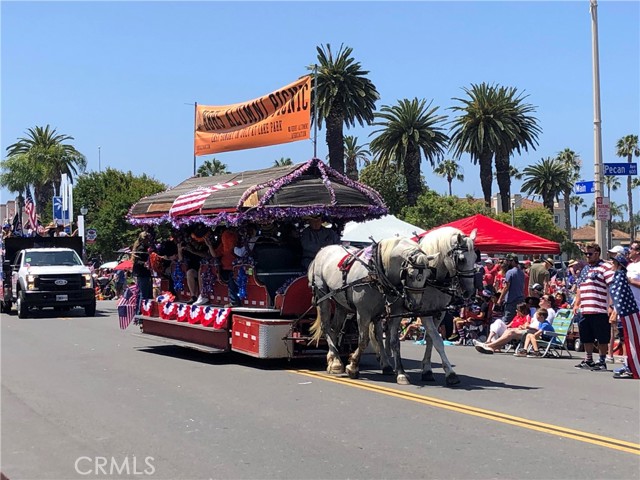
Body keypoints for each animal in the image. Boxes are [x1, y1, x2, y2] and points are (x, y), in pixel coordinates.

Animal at [308, 236, 436, 382]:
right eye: (409, 274)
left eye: (428, 275)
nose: (415, 305)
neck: (376, 270)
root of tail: (323, 250)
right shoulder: (363, 312)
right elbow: (363, 340)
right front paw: (353, 367)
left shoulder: (394, 312)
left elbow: (393, 341)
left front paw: (400, 372)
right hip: (322, 295)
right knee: (326, 327)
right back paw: (336, 362)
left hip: (342, 303)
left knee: (335, 329)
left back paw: (334, 360)